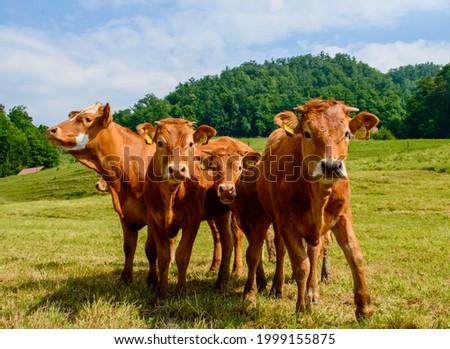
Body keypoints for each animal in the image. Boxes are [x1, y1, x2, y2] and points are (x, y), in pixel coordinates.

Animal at [142, 118, 236, 298]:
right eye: (160, 143)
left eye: (191, 143)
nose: (177, 170)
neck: (172, 193)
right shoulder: (154, 219)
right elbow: (163, 257)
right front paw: (161, 294)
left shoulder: (193, 219)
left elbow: (183, 255)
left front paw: (181, 291)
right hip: (219, 214)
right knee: (226, 240)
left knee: (232, 240)